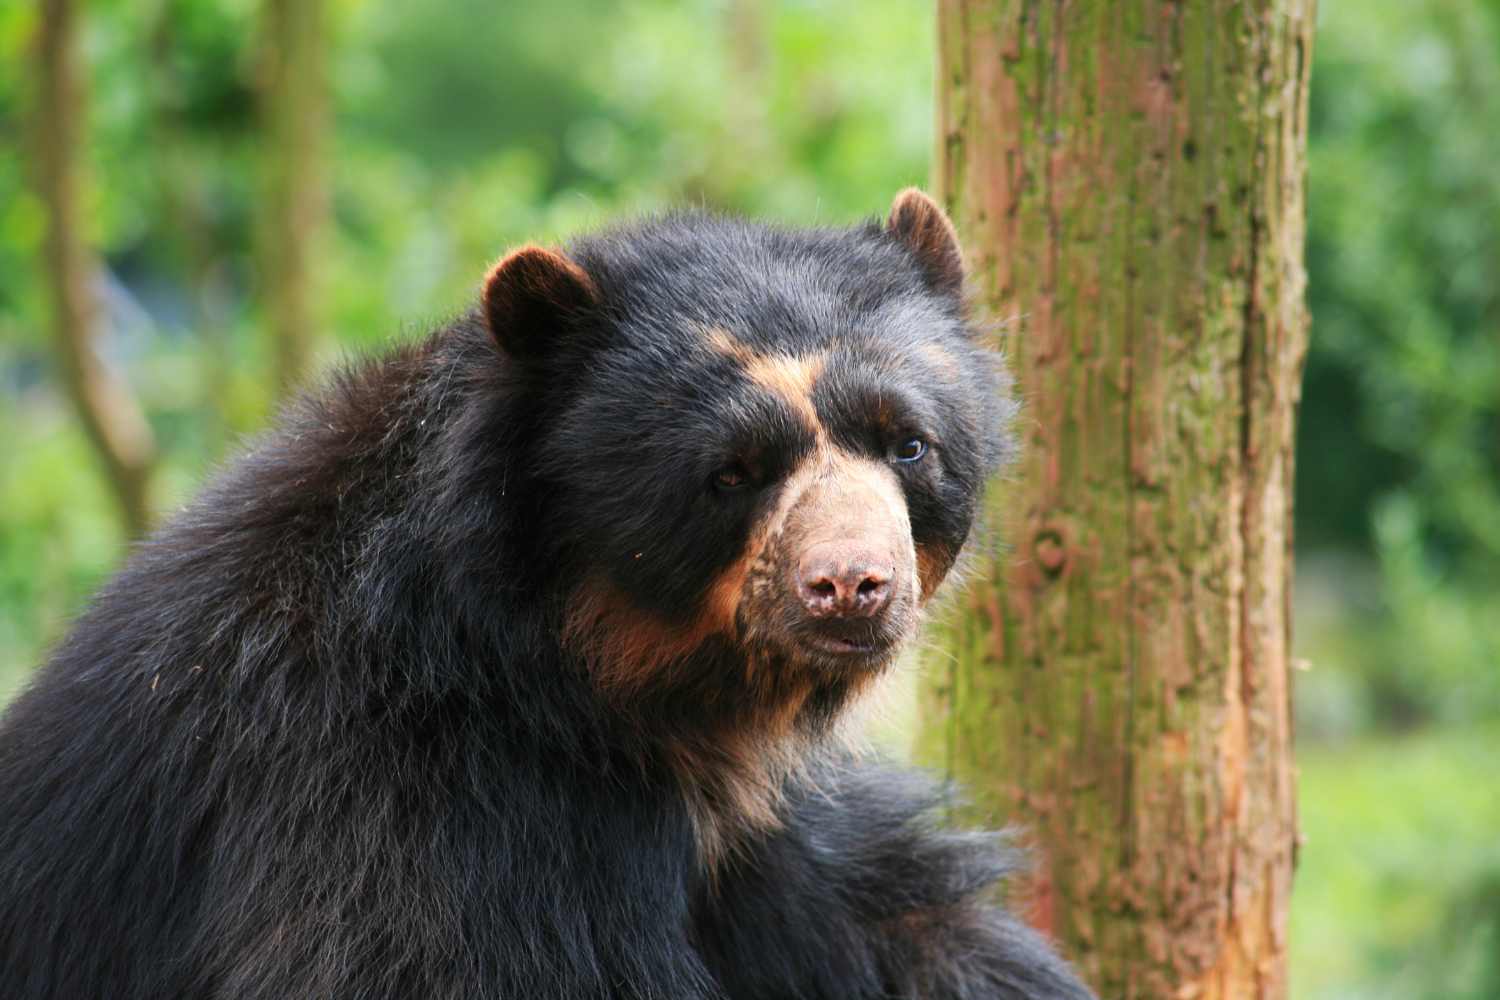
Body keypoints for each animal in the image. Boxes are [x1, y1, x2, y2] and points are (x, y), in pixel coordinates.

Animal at [0, 189, 1092, 1000]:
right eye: (730, 473)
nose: (852, 587)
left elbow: (902, 918)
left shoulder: (757, 839)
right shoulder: (401, 814)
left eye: (908, 442)